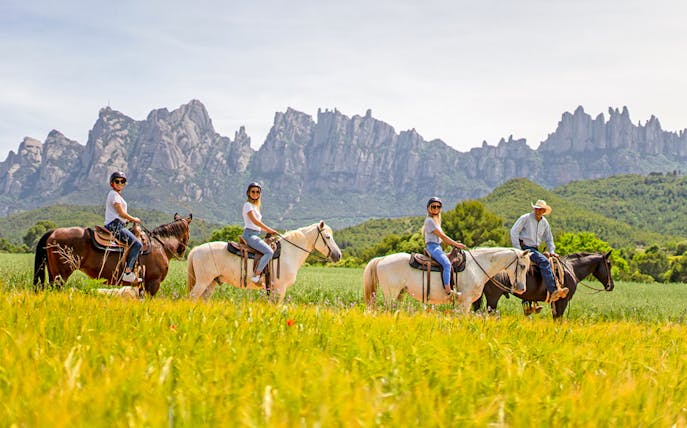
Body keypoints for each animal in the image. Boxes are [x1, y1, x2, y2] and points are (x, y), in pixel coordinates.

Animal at [33, 214, 192, 296]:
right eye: (188, 233)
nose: (182, 251)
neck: (160, 245)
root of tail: (53, 231)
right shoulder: (153, 283)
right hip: (61, 275)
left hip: (54, 273)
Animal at [187, 221, 342, 303]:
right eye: (328, 237)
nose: (338, 255)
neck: (288, 253)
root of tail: (196, 249)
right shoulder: (280, 289)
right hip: (202, 282)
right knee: (192, 298)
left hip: (211, 283)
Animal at [363, 247, 531, 312]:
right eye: (523, 266)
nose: (522, 288)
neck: (476, 266)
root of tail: (382, 259)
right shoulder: (465, 302)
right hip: (390, 294)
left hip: (400, 295)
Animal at [472, 251, 615, 319]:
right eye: (609, 264)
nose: (611, 286)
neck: (571, 269)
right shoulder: (563, 301)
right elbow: (559, 319)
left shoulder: (555, 302)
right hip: (493, 297)